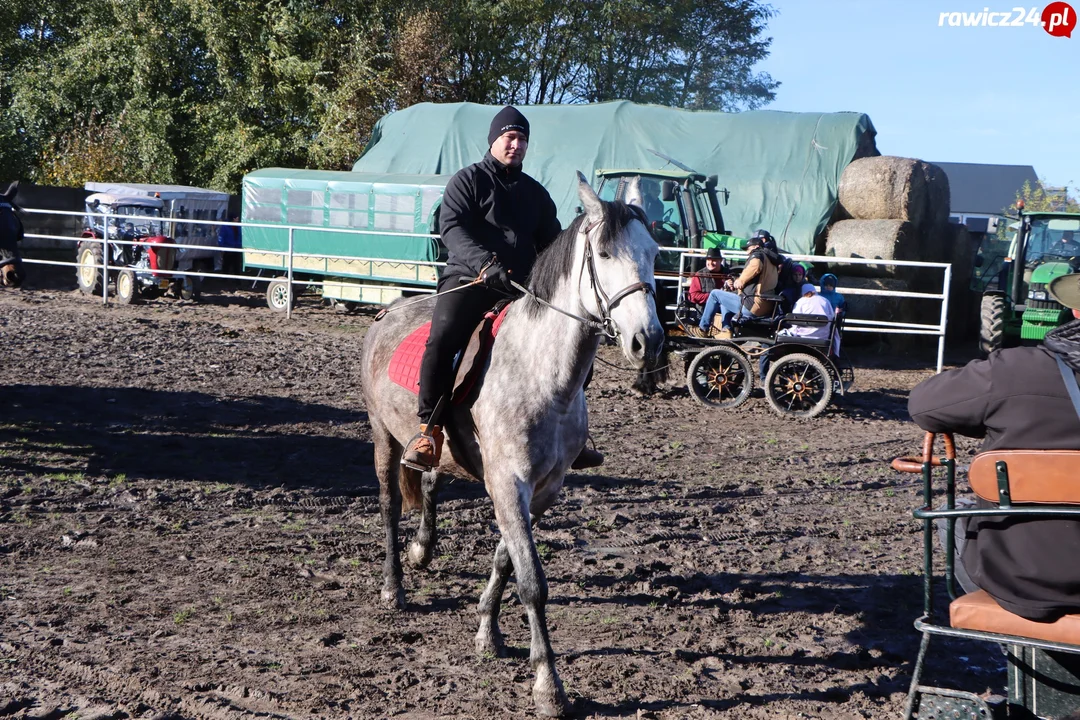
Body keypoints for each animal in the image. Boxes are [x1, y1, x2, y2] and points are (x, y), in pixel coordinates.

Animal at [362, 172, 660, 716]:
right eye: (605, 253)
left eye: (652, 252)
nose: (647, 341)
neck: (541, 374)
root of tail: (388, 310)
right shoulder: (507, 482)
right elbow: (532, 582)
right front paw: (548, 685)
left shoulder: (541, 489)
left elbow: (507, 560)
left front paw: (488, 631)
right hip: (382, 434)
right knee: (391, 503)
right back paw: (394, 586)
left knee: (431, 478)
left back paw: (421, 549)